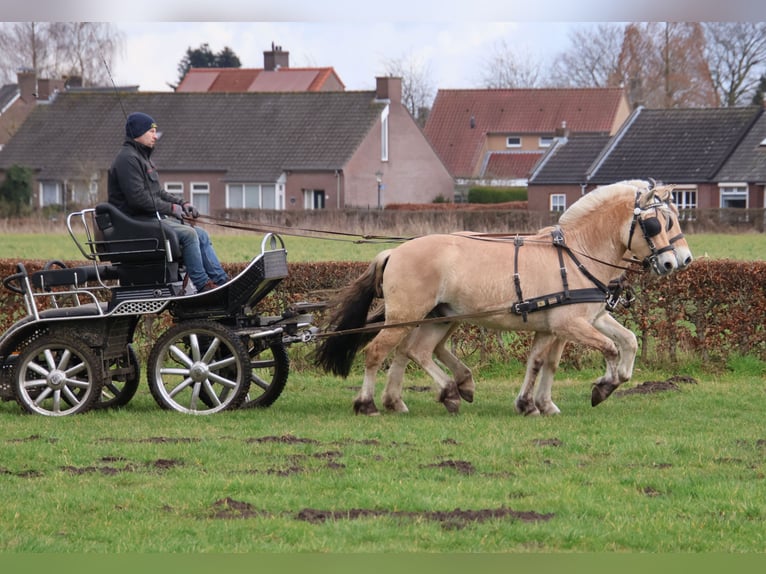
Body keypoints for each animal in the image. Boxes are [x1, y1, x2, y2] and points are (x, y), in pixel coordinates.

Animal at [316, 179, 688, 414]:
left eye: (675, 218)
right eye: (657, 224)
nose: (680, 261)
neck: (576, 254)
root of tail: (395, 251)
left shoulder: (566, 324)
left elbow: (558, 358)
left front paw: (535, 404)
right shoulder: (569, 324)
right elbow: (610, 348)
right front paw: (604, 386)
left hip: (438, 317)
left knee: (415, 350)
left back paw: (442, 392)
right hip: (407, 316)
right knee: (379, 351)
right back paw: (370, 404)